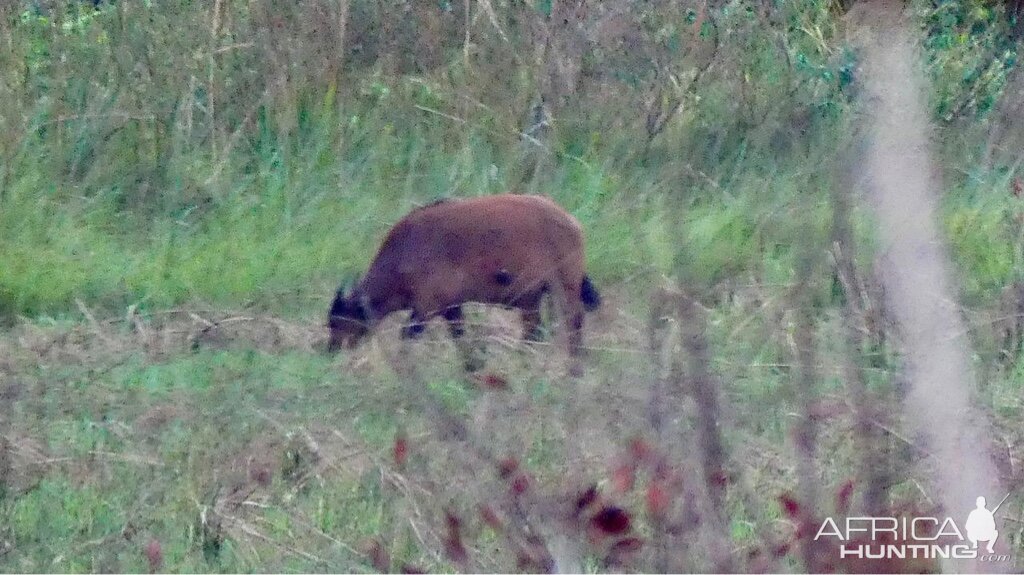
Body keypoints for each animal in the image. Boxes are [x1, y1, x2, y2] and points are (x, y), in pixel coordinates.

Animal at [327, 192, 598, 368]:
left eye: (338, 322)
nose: (329, 351)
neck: (407, 249)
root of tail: (570, 221)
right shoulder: (452, 307)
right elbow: (459, 336)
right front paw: (472, 366)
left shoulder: (426, 308)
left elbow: (408, 335)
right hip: (530, 298)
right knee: (535, 329)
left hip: (564, 288)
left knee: (572, 322)